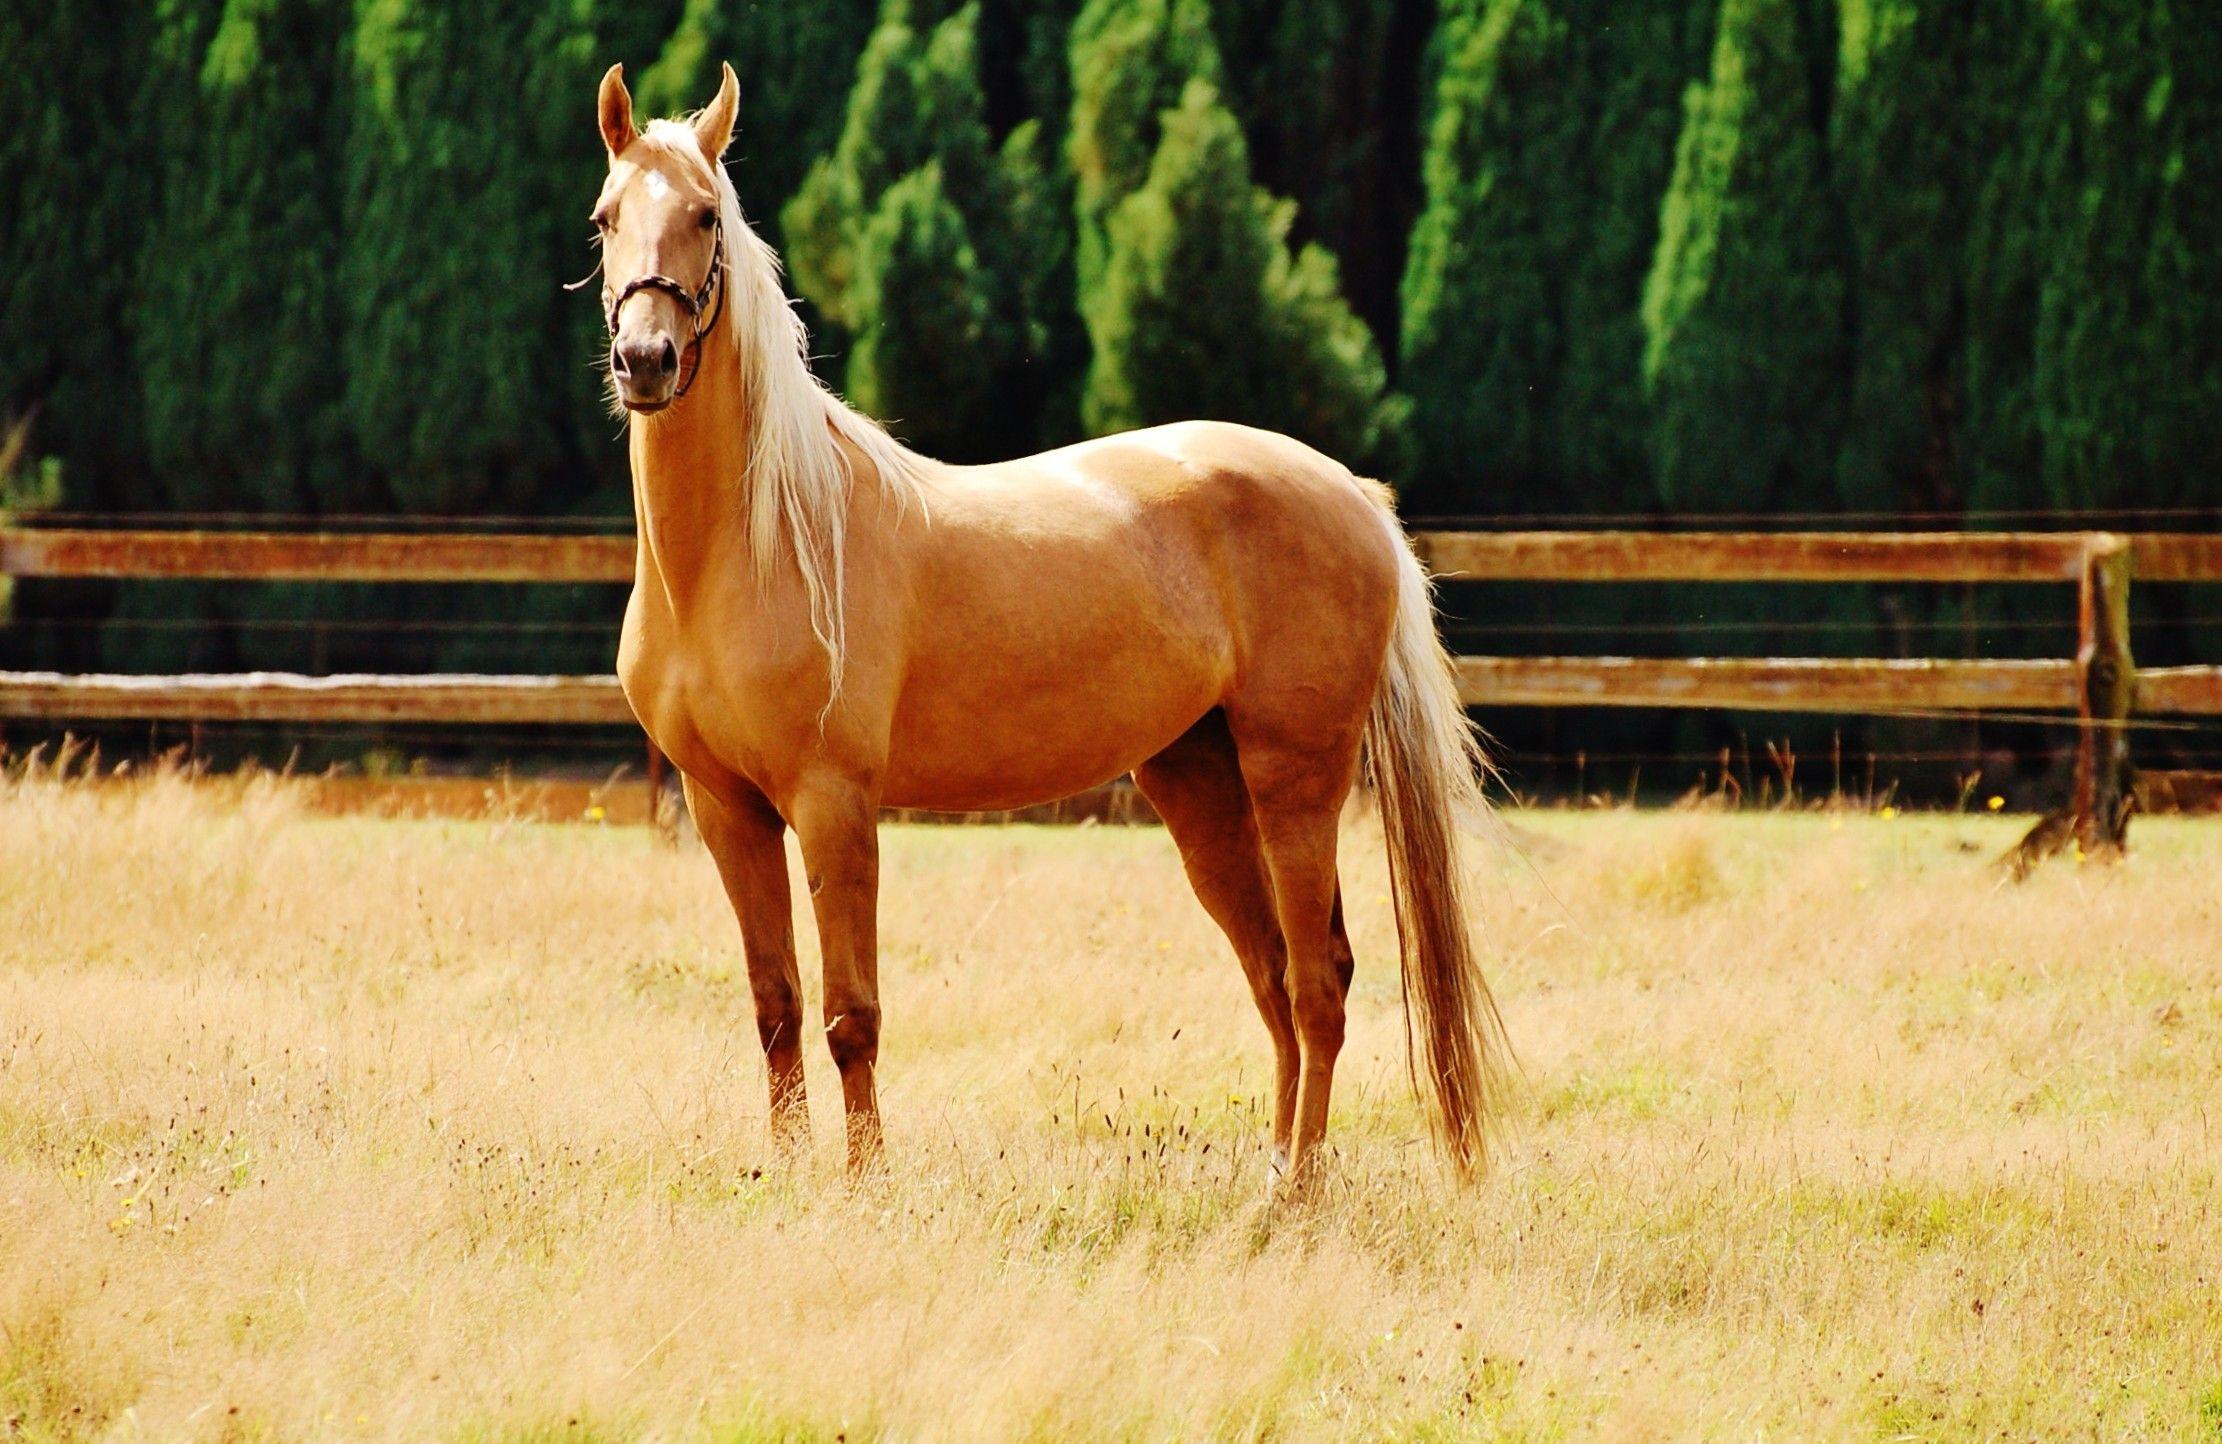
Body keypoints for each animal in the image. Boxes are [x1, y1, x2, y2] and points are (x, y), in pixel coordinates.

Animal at [588, 62, 1507, 1182]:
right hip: (1200, 786)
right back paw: (1269, 1176)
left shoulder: (832, 802)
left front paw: (863, 1181)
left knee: (1316, 983)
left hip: (1296, 778)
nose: (645, 359)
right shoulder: (728, 809)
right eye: (604, 219)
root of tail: (1351, 494)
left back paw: (1289, 1199)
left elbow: (851, 1014)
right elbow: (776, 1005)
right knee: (1275, 977)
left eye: (705, 216)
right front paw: (789, 1173)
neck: (753, 544)